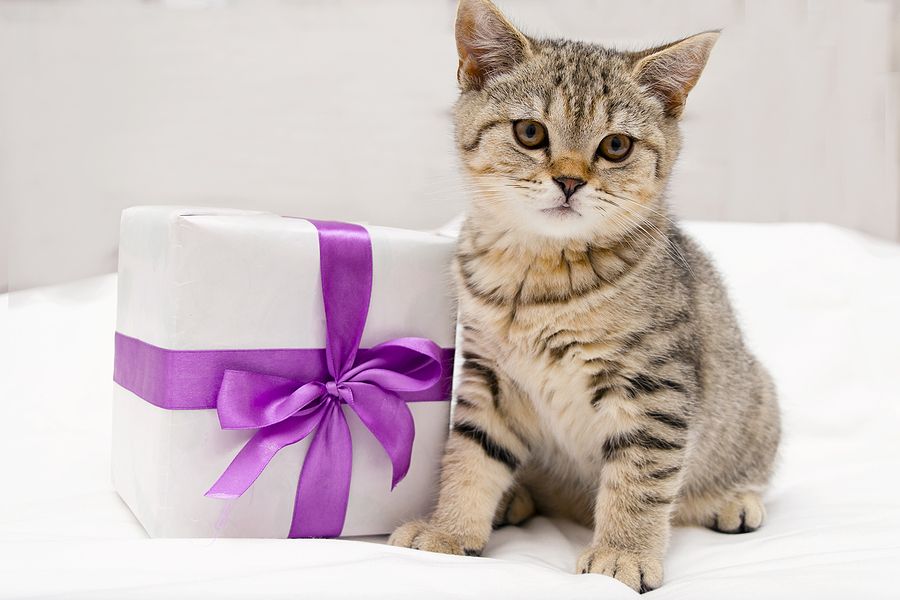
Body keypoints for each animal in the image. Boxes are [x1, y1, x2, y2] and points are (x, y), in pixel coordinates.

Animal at [388, 0, 780, 592]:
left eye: (616, 146)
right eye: (530, 132)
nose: (570, 181)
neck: (538, 276)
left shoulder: (653, 385)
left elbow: (640, 478)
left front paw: (623, 553)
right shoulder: (490, 377)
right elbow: (471, 455)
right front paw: (449, 528)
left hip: (755, 398)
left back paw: (731, 501)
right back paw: (515, 500)